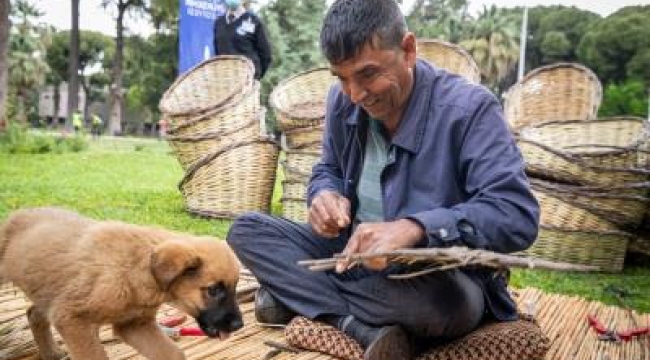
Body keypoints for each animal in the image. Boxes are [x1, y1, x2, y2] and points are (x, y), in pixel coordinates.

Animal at [0, 208, 243, 360]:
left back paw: (52, 353)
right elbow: (94, 356)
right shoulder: (71, 319)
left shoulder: (134, 325)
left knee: (33, 313)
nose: (238, 325)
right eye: (213, 290)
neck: (135, 268)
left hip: (47, 291)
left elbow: (172, 353)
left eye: (234, 287)